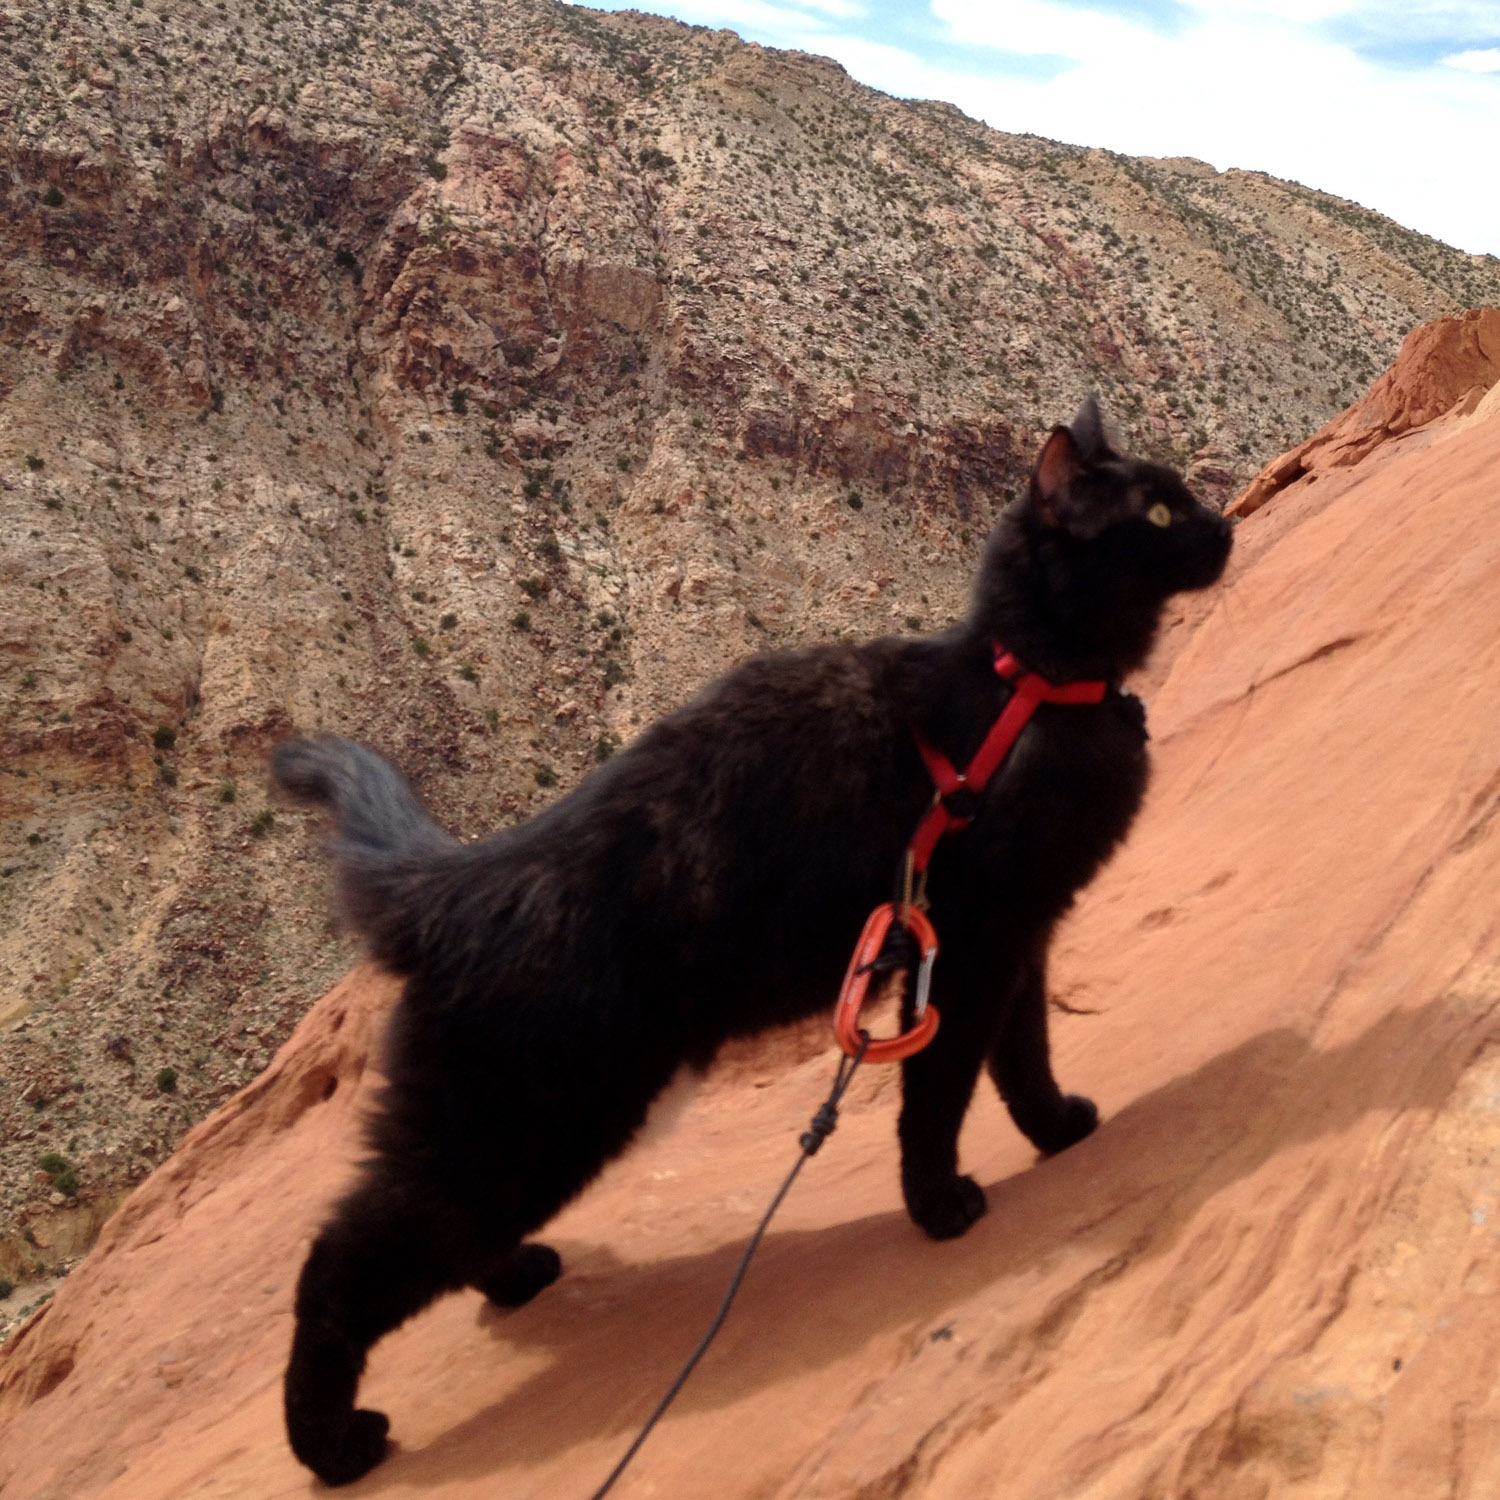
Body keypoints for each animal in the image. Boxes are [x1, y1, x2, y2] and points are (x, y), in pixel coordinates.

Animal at [276, 393, 1224, 1482]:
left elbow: (1022, 1056)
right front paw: (939, 1205)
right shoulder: (970, 950)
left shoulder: (1018, 939)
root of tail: (459, 880)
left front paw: (1057, 1128)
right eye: (1159, 513)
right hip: (527, 1121)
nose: (1224, 527)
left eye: (1185, 500)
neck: (1029, 686)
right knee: (342, 1262)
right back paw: (332, 1444)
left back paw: (514, 1277)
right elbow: (938, 1094)